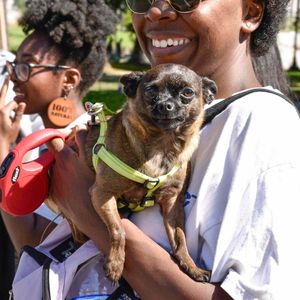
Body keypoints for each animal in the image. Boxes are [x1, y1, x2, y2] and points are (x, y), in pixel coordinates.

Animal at [70, 63, 216, 284]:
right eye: (150, 91)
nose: (165, 105)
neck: (162, 147)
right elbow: (118, 230)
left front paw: (191, 266)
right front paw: (115, 263)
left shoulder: (172, 203)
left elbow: (179, 237)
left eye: (187, 92)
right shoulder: (102, 193)